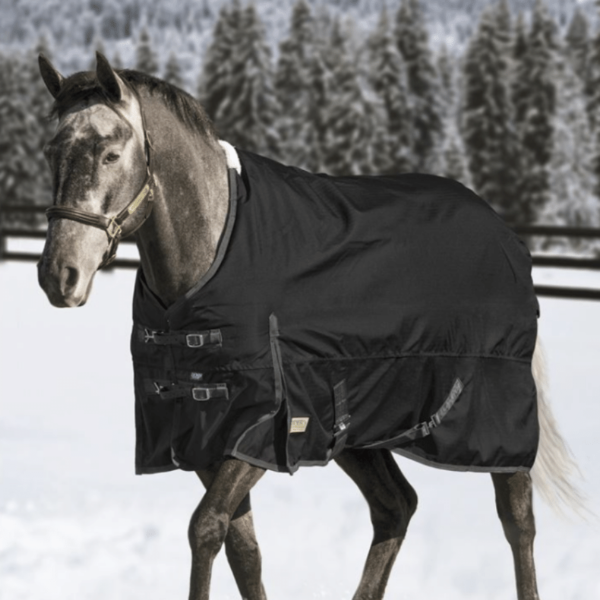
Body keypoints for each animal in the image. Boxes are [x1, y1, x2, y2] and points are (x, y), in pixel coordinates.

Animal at [36, 52, 580, 600]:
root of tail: (504, 231)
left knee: (517, 522)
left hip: (496, 426)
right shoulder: (207, 436)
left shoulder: (260, 430)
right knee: (396, 507)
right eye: (51, 151)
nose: (59, 274)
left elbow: (205, 528)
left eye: (110, 153)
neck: (212, 252)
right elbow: (243, 549)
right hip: (360, 431)